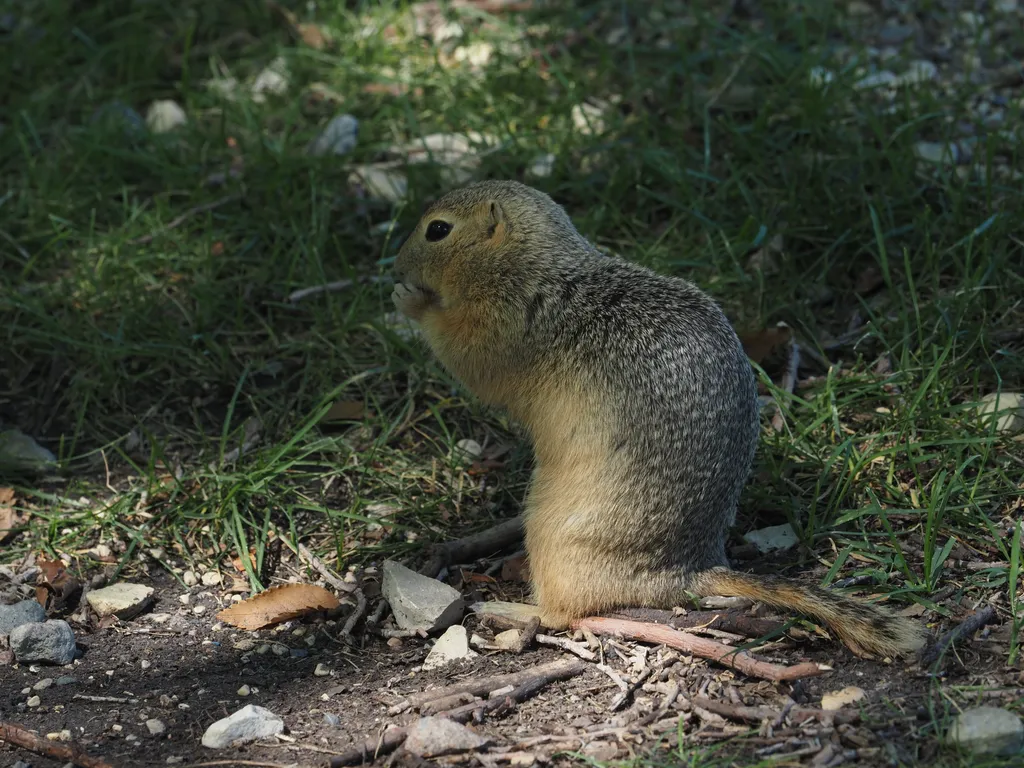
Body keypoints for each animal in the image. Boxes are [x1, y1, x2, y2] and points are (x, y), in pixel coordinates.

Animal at [389, 180, 929, 663]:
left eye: (438, 230)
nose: (393, 267)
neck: (533, 267)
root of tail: (687, 570)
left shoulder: (504, 324)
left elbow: (466, 355)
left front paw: (409, 300)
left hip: (553, 539)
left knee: (564, 613)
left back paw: (508, 608)